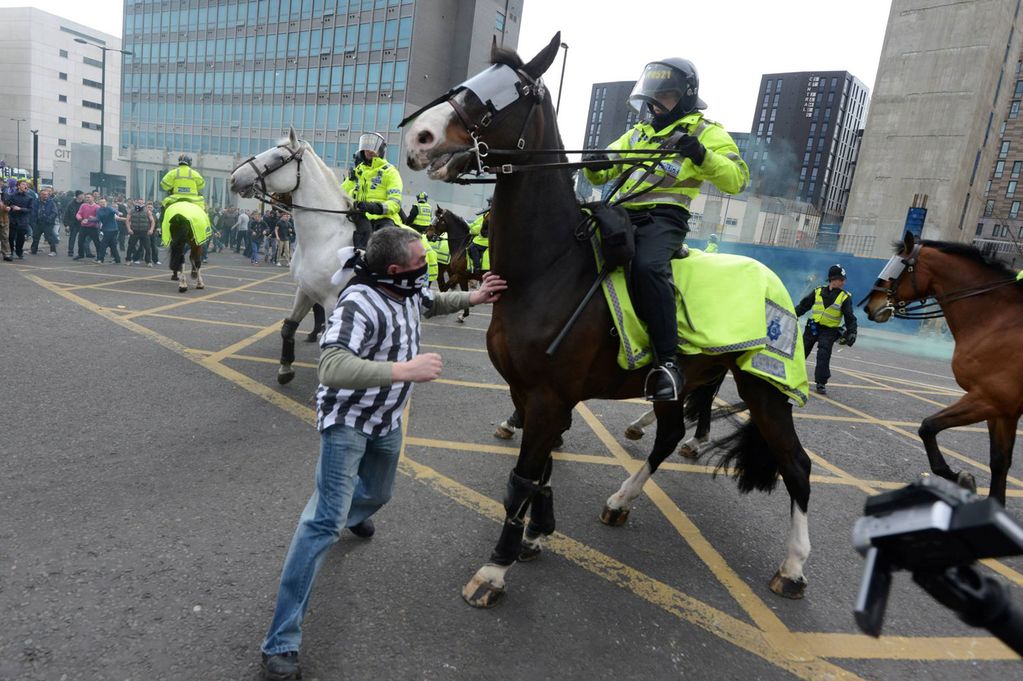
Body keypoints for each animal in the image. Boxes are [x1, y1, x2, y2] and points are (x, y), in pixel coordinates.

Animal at [228, 127, 356, 382]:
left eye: (278, 158)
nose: (235, 178)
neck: (325, 237)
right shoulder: (305, 290)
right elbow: (288, 327)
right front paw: (285, 368)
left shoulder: (331, 301)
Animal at [403, 31, 810, 605]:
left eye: (512, 91)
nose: (419, 136)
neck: (546, 268)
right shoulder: (527, 392)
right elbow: (542, 470)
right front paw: (536, 534)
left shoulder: (548, 396)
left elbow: (524, 476)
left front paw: (497, 567)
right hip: (691, 381)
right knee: (668, 434)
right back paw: (622, 499)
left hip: (765, 388)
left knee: (795, 464)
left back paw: (793, 567)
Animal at [863, 231, 1023, 501]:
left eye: (900, 265)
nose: (869, 306)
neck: (997, 321)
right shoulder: (1003, 411)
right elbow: (999, 461)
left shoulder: (988, 399)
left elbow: (927, 427)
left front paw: (960, 477)